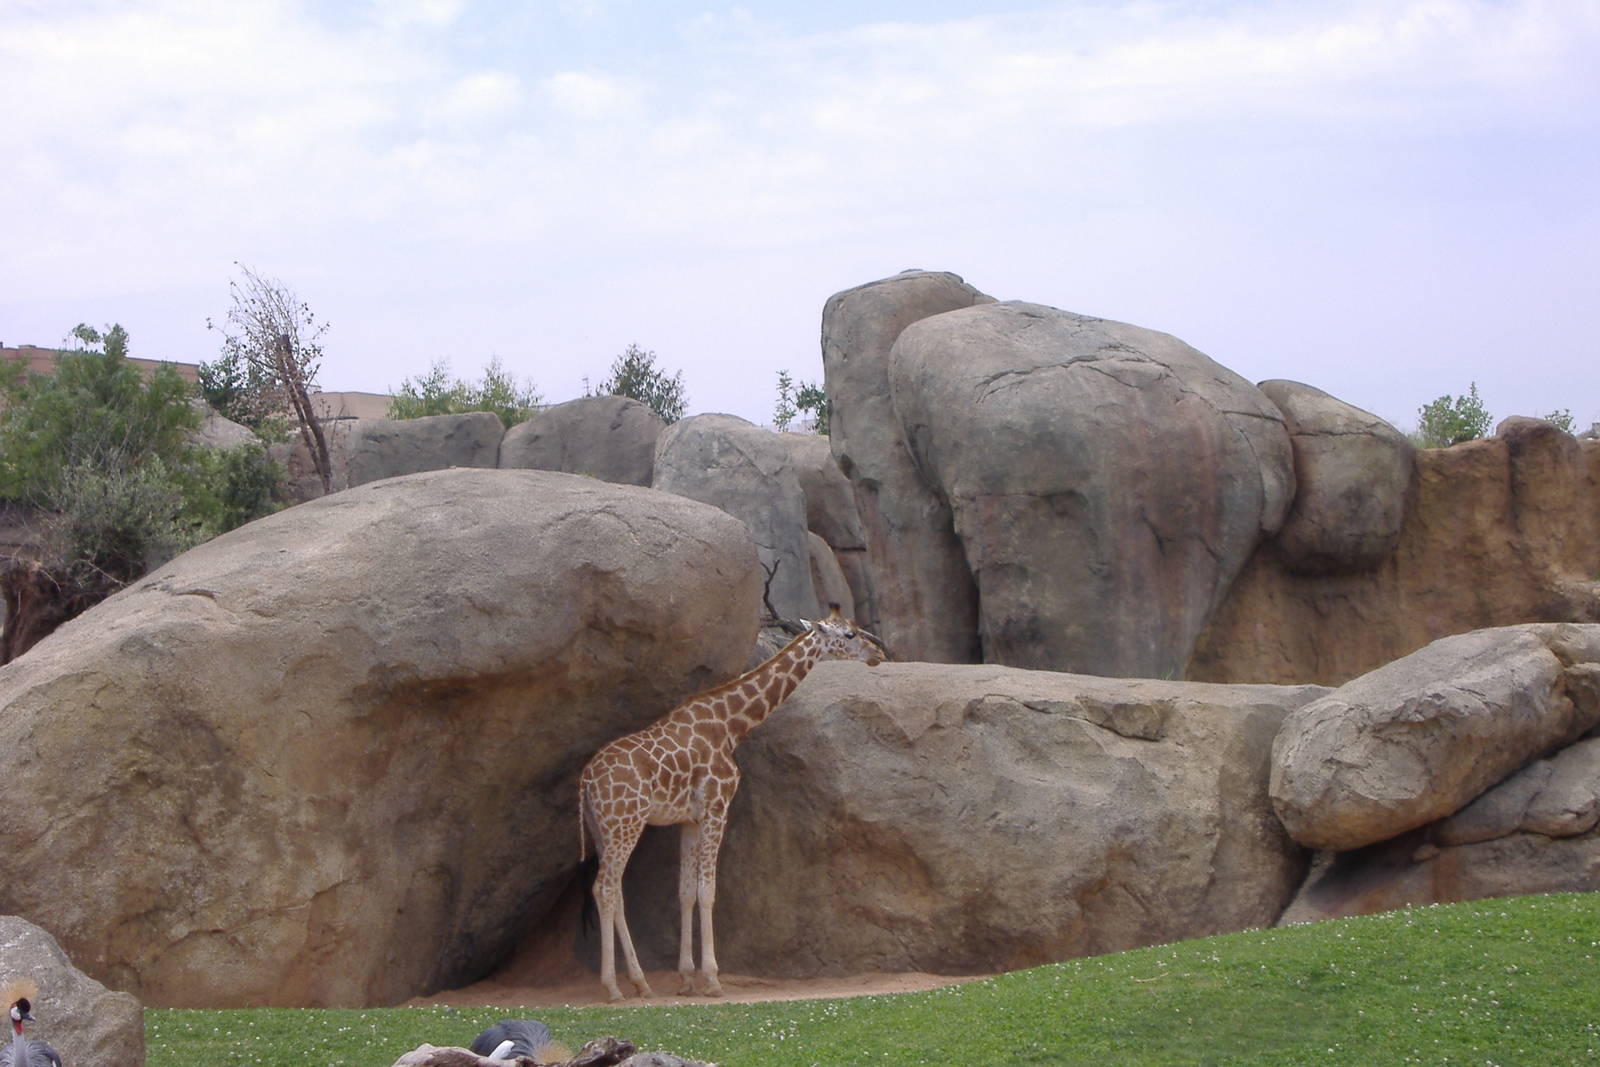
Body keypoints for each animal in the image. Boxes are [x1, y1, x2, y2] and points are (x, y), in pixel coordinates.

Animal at [577, 606, 888, 1002]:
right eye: (849, 634)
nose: (879, 655)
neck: (730, 726)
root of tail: (586, 781)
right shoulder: (717, 806)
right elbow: (708, 891)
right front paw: (712, 979)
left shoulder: (689, 819)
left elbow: (685, 892)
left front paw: (686, 979)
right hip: (625, 824)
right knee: (603, 888)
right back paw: (613, 987)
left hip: (603, 830)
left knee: (614, 891)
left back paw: (640, 982)